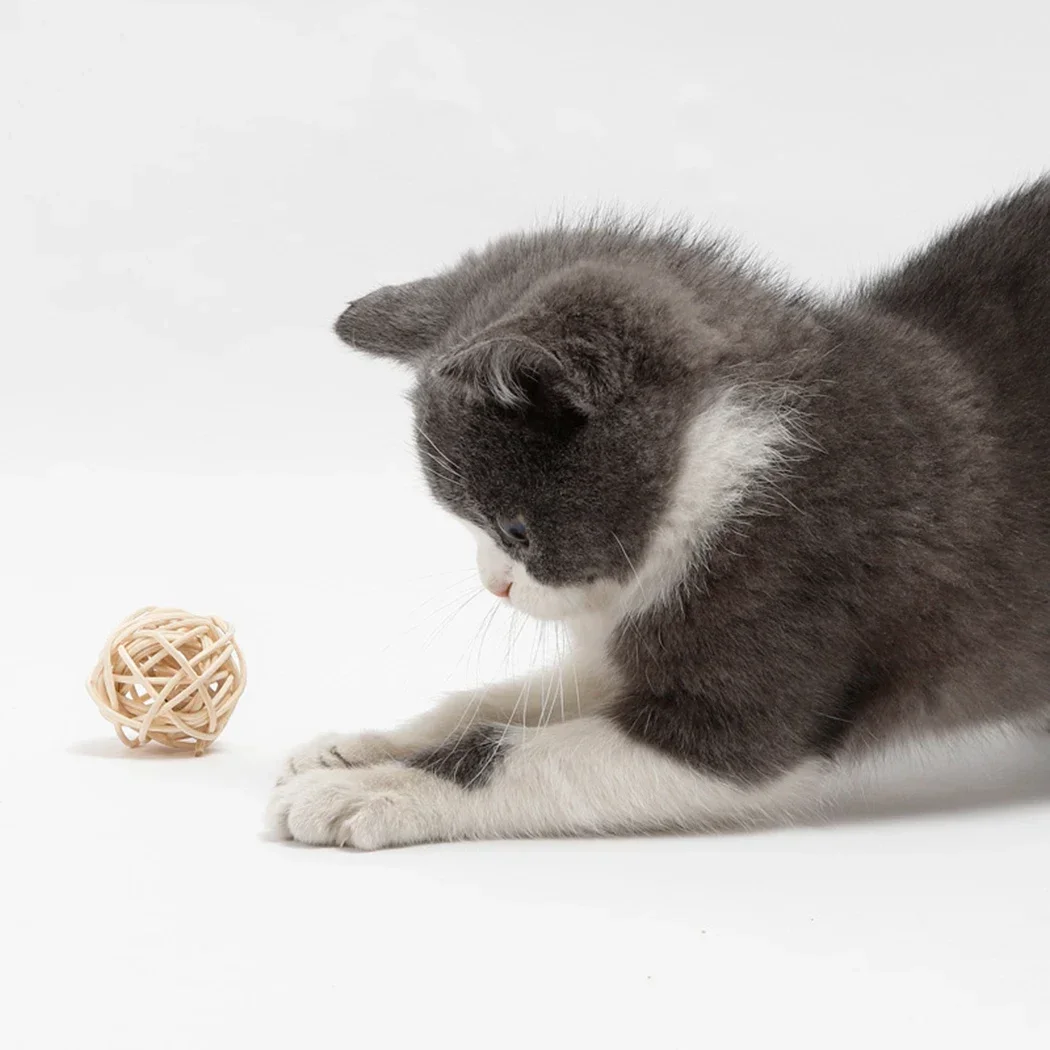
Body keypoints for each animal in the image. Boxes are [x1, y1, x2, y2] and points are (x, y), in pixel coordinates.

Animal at [266, 178, 1050, 852]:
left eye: (514, 530)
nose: (497, 584)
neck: (718, 468)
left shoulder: (776, 639)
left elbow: (522, 752)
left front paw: (370, 789)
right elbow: (505, 700)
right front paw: (362, 747)